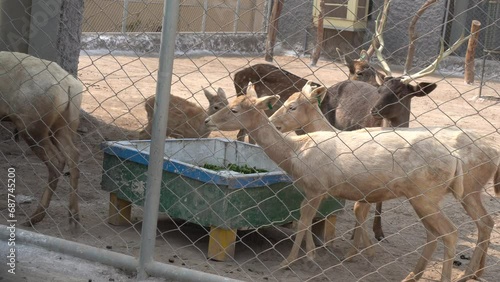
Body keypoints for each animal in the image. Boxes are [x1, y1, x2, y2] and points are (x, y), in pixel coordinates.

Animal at [0, 50, 83, 227]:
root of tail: (70, 87)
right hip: (63, 126)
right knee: (73, 155)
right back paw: (73, 217)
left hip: (32, 125)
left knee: (57, 161)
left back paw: (34, 217)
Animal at [204, 82, 500, 282]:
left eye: (233, 109)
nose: (208, 120)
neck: (296, 152)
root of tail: (456, 159)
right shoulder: (326, 190)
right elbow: (312, 219)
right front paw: (316, 255)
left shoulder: (316, 186)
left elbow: (304, 219)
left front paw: (289, 262)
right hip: (433, 197)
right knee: (451, 230)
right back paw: (420, 275)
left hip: (428, 194)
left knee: (451, 232)